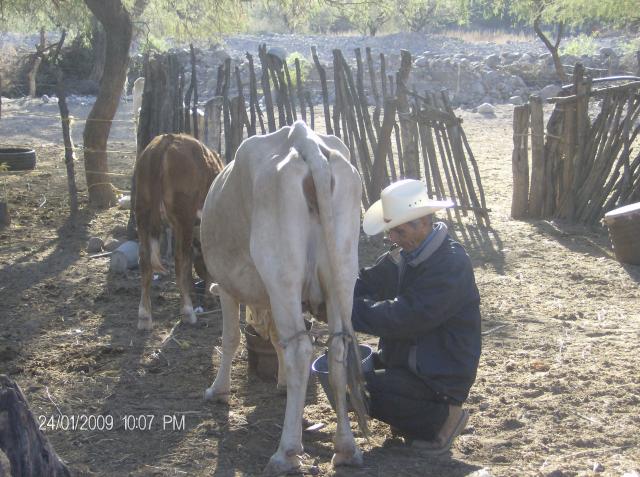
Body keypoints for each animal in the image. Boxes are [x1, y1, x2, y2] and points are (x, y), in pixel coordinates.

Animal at [134, 132, 224, 330]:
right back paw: (188, 312)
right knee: (179, 258)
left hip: (143, 213)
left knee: (145, 258)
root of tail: (166, 140)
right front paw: (209, 296)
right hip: (184, 217)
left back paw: (144, 316)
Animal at [200, 121, 370, 474]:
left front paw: (218, 390)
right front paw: (279, 382)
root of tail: (303, 139)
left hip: (283, 277)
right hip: (343, 275)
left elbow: (231, 338)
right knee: (336, 350)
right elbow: (278, 339)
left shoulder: (226, 287)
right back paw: (346, 447)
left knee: (302, 351)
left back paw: (286, 452)